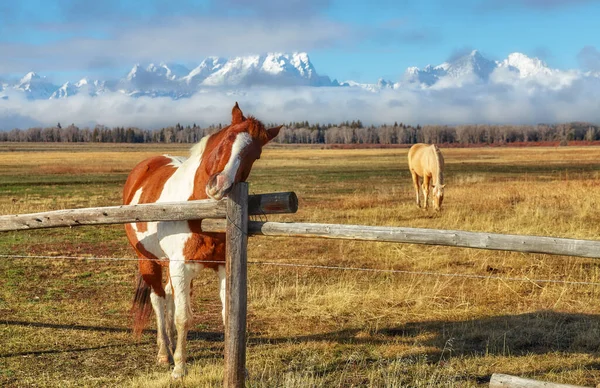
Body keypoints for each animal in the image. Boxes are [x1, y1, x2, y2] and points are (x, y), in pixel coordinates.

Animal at [123, 101, 282, 378]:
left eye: (256, 154)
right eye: (227, 138)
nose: (219, 185)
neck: (196, 210)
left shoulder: (222, 266)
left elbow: (227, 316)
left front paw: (236, 367)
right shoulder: (179, 266)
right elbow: (183, 317)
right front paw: (179, 368)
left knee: (168, 295)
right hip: (148, 260)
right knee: (158, 299)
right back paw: (164, 353)